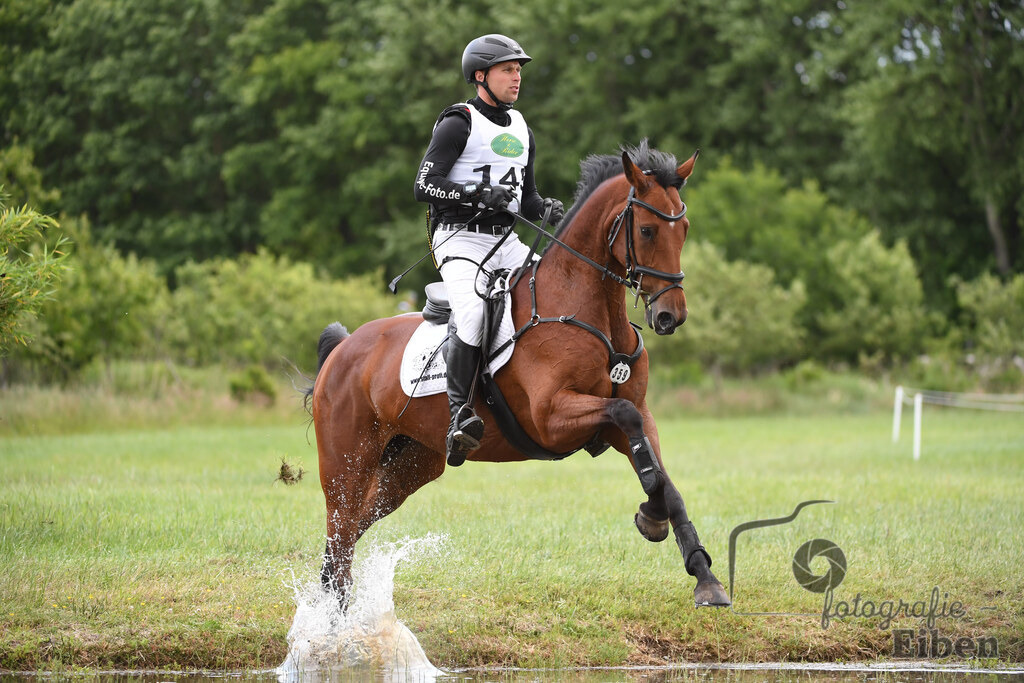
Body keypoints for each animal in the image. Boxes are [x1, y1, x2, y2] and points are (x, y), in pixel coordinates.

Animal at [306, 140, 731, 609]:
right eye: (649, 231)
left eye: (684, 228)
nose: (671, 315)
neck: (590, 311)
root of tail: (344, 347)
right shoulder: (552, 418)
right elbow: (626, 418)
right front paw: (655, 520)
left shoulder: (633, 415)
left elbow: (660, 476)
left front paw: (700, 572)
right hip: (346, 463)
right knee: (341, 527)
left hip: (410, 465)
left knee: (349, 532)